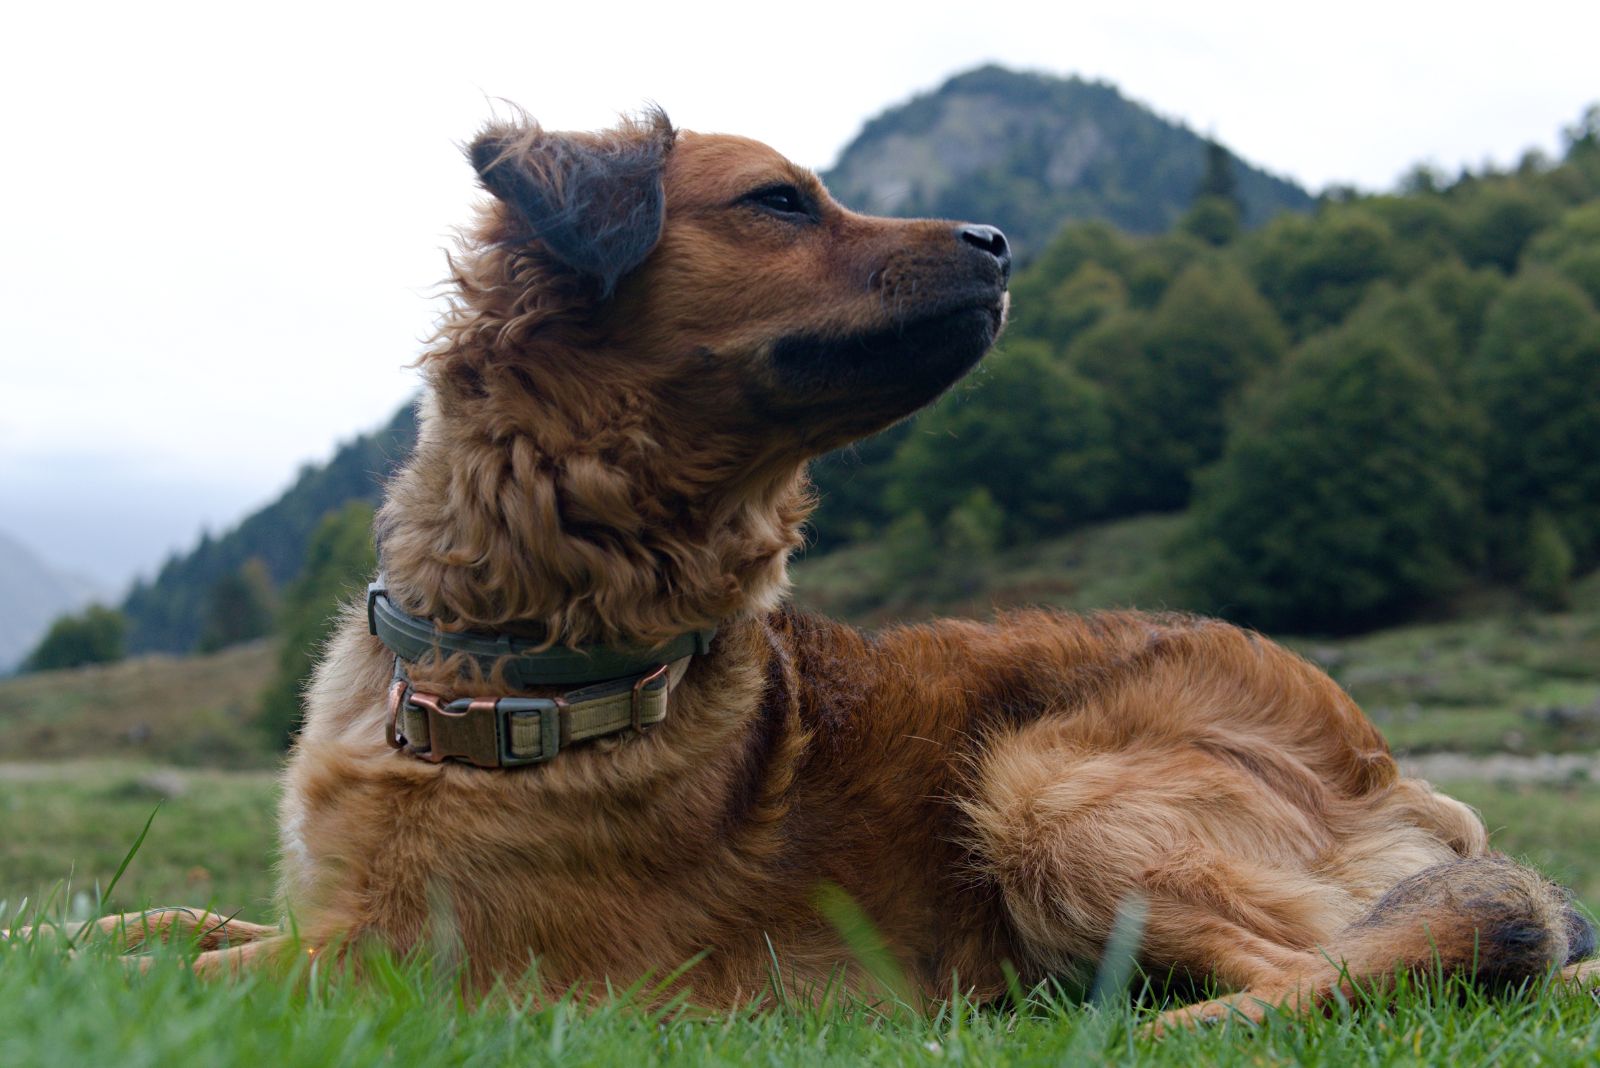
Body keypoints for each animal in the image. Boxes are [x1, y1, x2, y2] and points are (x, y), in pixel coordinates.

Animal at [106, 106, 1593, 1023]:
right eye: (779, 201)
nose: (1001, 238)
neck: (512, 652)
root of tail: (1385, 764)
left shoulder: (416, 962)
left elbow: (187, 969)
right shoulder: (332, 916)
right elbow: (157, 923)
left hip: (1050, 783)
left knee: (1390, 957)